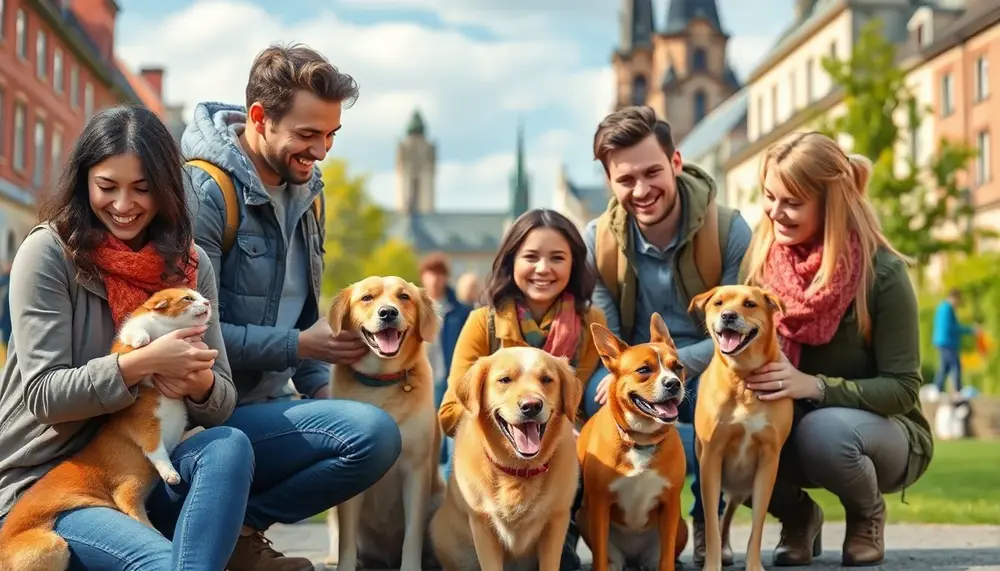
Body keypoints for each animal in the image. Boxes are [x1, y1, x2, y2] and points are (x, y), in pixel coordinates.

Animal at [0, 288, 211, 571]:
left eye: (198, 296)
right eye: (187, 299)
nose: (208, 302)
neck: (168, 329)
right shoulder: (124, 347)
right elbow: (134, 335)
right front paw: (142, 340)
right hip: (56, 543)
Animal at [326, 276, 444, 571]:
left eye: (404, 297)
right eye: (367, 297)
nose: (388, 313)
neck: (381, 381)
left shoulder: (416, 469)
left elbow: (412, 534)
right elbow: (346, 538)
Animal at [428, 346, 584, 571]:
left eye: (547, 379)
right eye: (505, 380)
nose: (531, 405)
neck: (519, 470)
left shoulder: (556, 521)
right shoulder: (483, 524)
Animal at [572, 312, 688, 571]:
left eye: (678, 368)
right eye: (644, 369)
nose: (674, 383)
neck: (640, 439)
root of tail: (634, 559)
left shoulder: (671, 505)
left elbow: (667, 558)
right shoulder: (600, 504)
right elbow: (600, 555)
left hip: (681, 527)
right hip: (583, 516)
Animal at [692, 286, 792, 571]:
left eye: (749, 304)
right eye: (718, 302)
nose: (728, 315)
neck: (743, 377)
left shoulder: (769, 461)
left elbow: (757, 526)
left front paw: (754, 565)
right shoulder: (711, 459)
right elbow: (711, 526)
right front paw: (711, 564)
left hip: (743, 488)